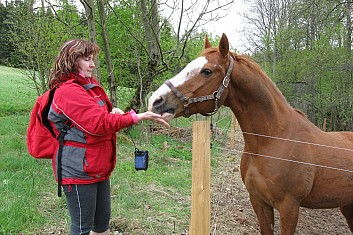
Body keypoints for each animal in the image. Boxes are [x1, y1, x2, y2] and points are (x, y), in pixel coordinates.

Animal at [148, 33, 353, 235]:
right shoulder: (259, 202)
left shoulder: (290, 207)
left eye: (207, 71)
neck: (274, 139)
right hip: (347, 206)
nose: (155, 101)